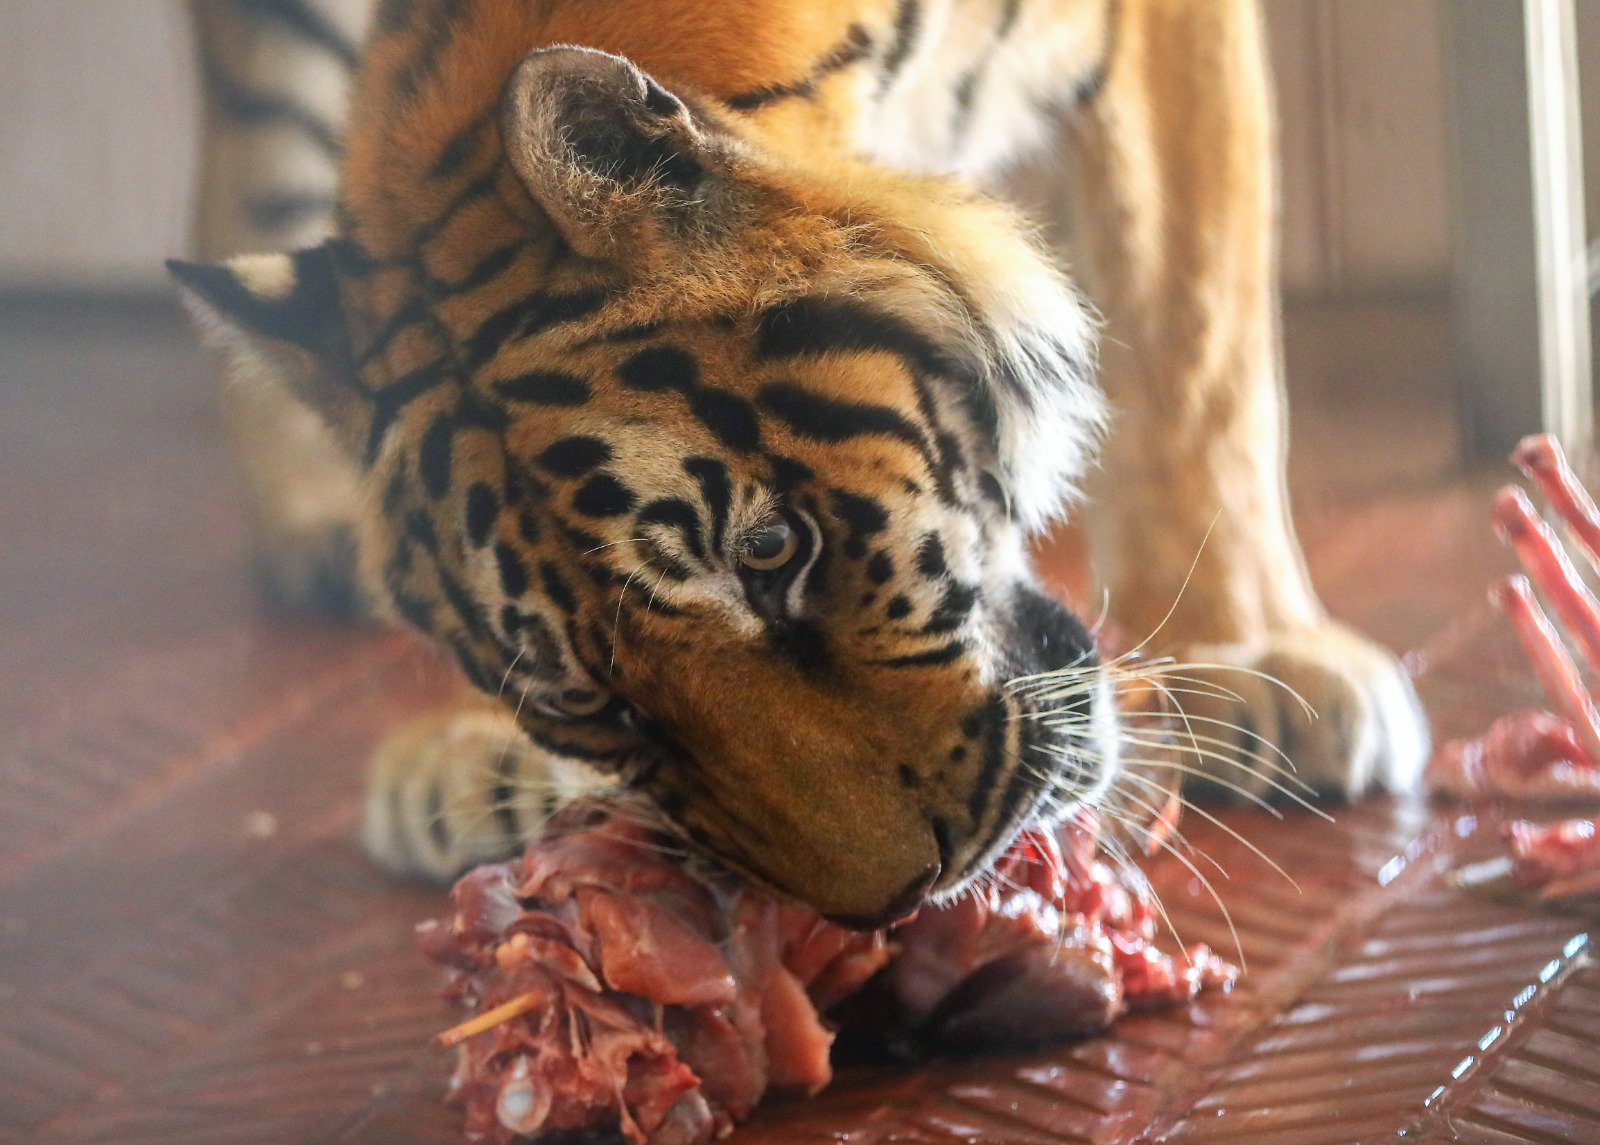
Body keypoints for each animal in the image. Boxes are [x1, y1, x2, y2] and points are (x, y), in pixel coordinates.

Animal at [175, 0, 1427, 927]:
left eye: (770, 550)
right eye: (589, 701)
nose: (901, 899)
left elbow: (1194, 325)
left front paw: (1251, 658)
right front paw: (483, 761)